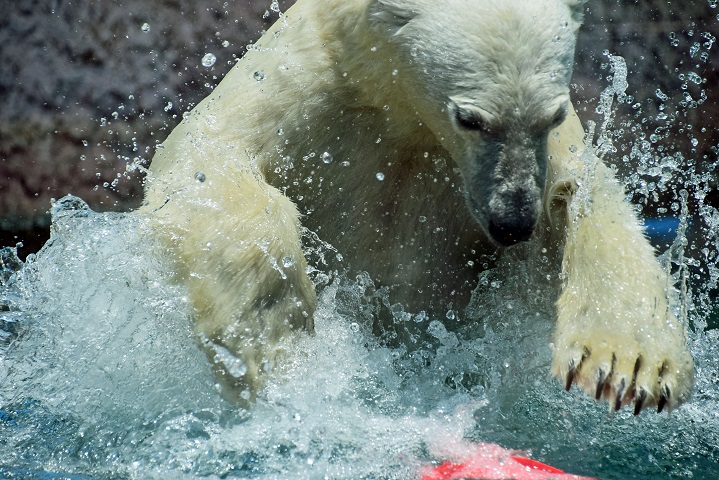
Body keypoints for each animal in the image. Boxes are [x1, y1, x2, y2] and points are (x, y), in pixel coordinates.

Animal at [141, 0, 692, 412]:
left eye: (551, 115)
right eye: (470, 118)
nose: (512, 221)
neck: (401, 109)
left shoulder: (547, 154)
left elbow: (585, 197)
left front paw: (627, 363)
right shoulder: (302, 84)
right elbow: (202, 164)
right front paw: (268, 340)